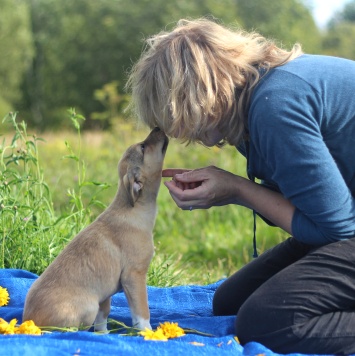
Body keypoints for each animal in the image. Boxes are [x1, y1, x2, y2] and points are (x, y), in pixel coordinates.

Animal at [23, 129, 170, 334]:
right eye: (142, 147)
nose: (158, 128)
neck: (132, 207)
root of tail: (28, 323)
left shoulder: (105, 293)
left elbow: (103, 315)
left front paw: (104, 334)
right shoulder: (134, 276)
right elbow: (142, 312)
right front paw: (148, 332)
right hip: (88, 306)